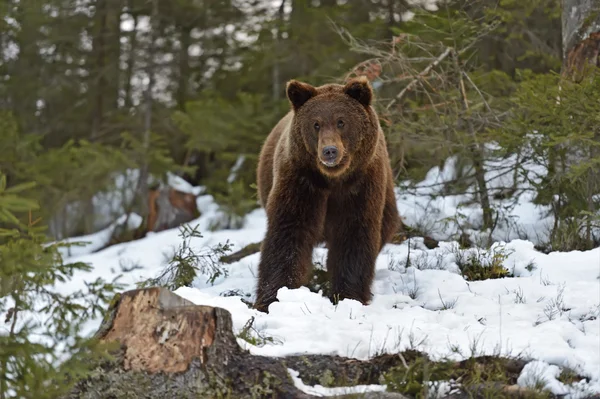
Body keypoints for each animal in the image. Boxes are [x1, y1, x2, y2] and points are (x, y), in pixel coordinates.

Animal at [253, 75, 404, 312]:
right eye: (316, 124)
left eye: (341, 121)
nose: (329, 151)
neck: (333, 179)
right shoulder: (301, 182)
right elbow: (288, 233)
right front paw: (272, 298)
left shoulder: (360, 186)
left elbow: (353, 237)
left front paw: (349, 296)